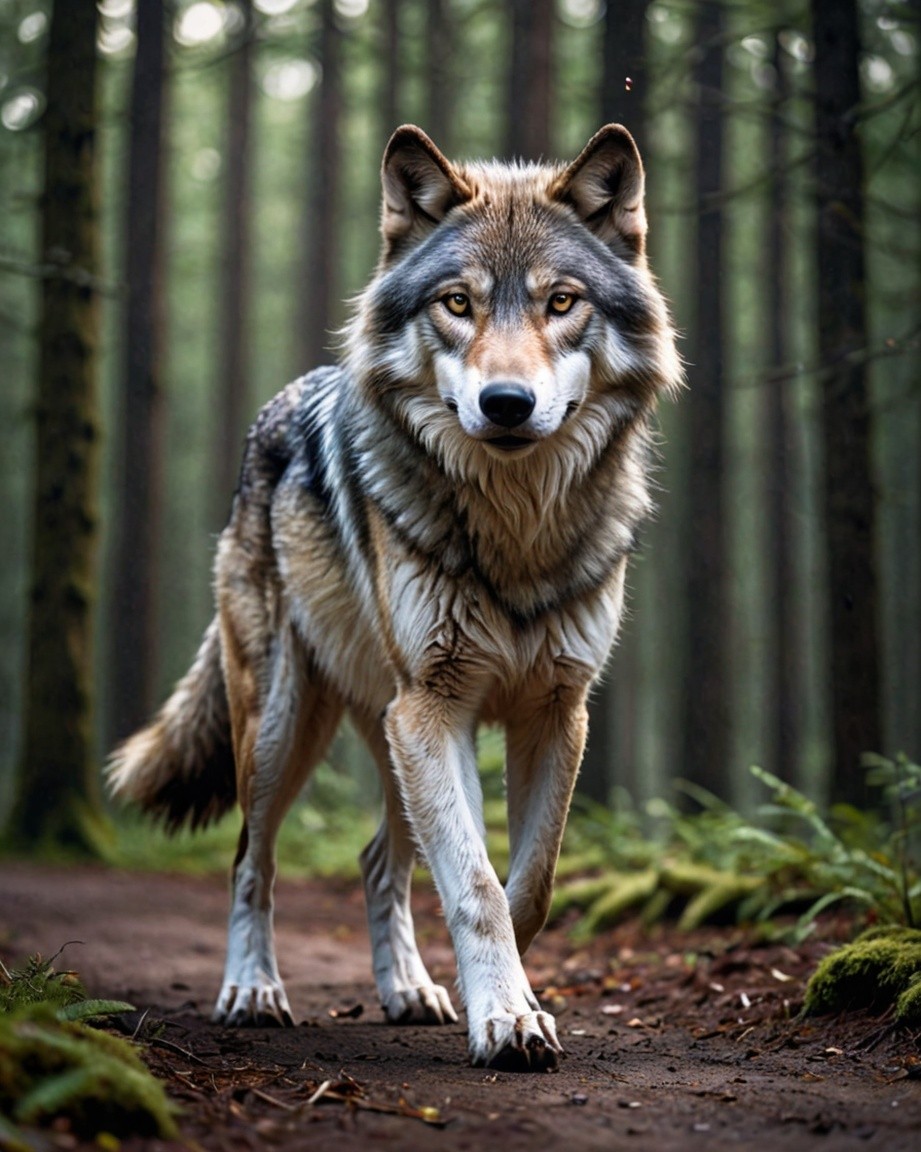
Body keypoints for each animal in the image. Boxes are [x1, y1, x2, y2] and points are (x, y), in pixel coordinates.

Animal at [108, 124, 682, 1071]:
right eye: (457, 302)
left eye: (561, 302)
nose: (506, 402)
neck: (513, 530)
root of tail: (284, 399)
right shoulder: (432, 709)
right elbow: (477, 884)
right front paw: (507, 1015)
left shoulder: (551, 712)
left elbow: (525, 884)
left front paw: (506, 1001)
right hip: (285, 726)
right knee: (249, 859)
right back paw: (252, 991)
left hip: (391, 736)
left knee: (380, 859)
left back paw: (409, 990)